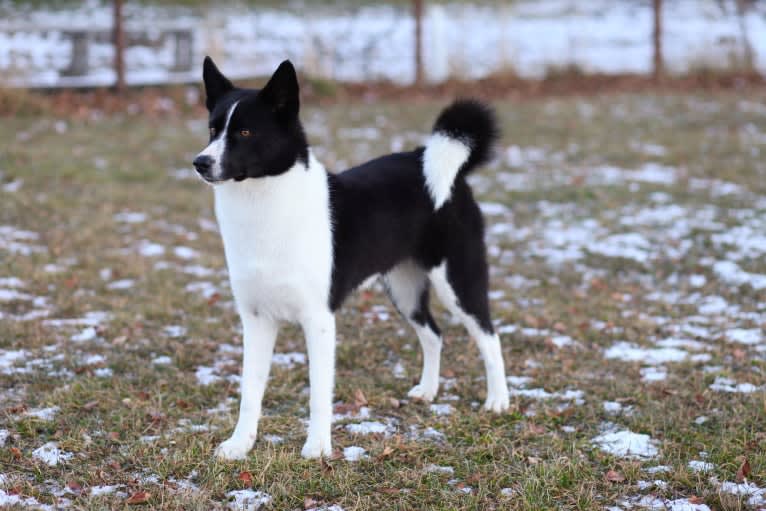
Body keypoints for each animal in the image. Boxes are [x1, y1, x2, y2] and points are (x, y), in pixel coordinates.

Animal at [194, 59, 510, 460]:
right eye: (212, 129)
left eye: (246, 131)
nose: (200, 163)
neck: (265, 202)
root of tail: (440, 166)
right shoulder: (256, 319)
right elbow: (250, 392)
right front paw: (239, 445)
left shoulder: (318, 320)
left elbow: (318, 393)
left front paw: (317, 447)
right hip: (405, 290)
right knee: (434, 335)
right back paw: (428, 391)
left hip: (458, 281)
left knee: (489, 337)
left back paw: (498, 401)